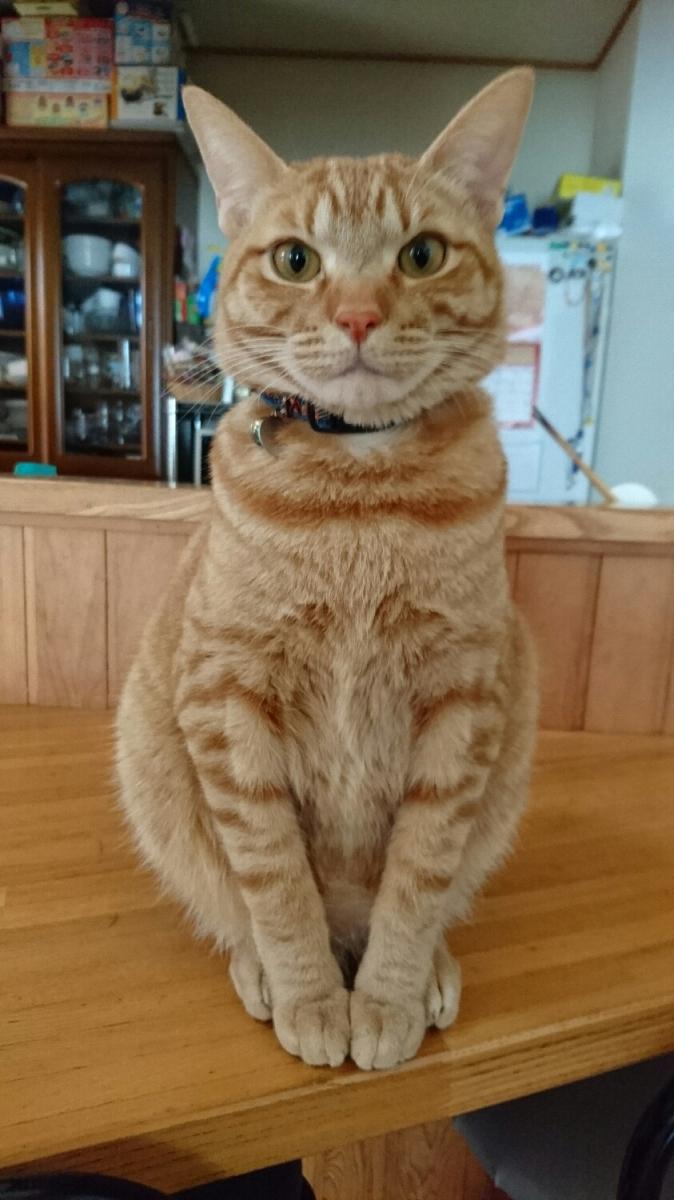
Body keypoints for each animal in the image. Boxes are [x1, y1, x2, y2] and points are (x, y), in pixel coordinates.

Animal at [116, 68, 538, 1072]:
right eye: (296, 261)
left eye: (421, 255)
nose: (356, 316)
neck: (358, 496)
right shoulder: (226, 698)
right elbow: (273, 881)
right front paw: (312, 994)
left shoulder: (464, 703)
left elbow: (419, 879)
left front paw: (384, 998)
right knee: (237, 906)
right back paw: (266, 974)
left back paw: (427, 974)